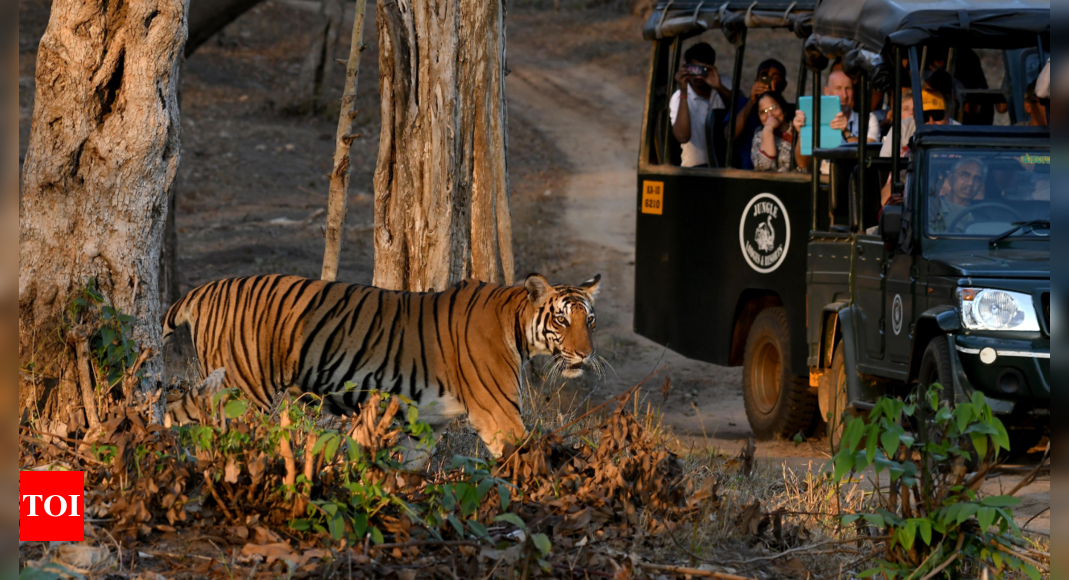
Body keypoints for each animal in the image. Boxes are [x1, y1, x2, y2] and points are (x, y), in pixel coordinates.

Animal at [160, 275, 602, 461]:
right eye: (562, 320)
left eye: (590, 320)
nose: (584, 355)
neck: (517, 325)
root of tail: (203, 290)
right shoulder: (499, 415)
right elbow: (530, 461)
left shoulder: (426, 424)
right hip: (241, 390)